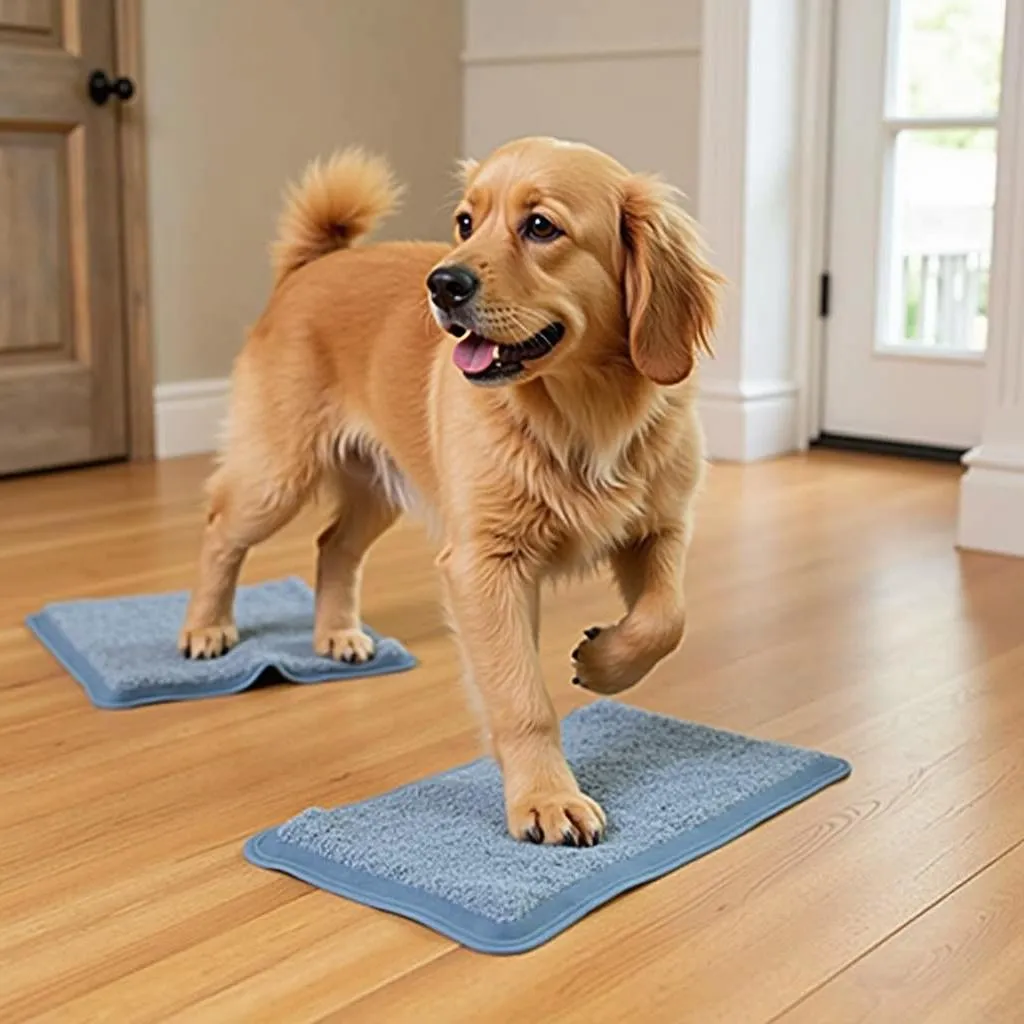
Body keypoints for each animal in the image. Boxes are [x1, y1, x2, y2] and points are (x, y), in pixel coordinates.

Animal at [178, 136, 720, 847]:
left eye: (540, 226)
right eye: (466, 222)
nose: (441, 284)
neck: (582, 414)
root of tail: (310, 268)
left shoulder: (659, 528)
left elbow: (667, 619)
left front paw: (604, 663)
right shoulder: (484, 565)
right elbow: (521, 696)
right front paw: (545, 798)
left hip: (376, 488)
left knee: (333, 546)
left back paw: (337, 635)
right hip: (275, 477)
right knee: (220, 532)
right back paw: (206, 628)